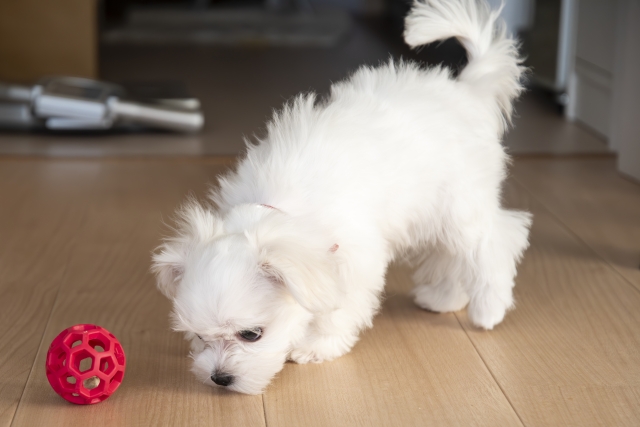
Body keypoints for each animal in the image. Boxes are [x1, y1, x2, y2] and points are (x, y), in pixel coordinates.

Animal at [150, 0, 528, 396]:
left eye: (251, 334)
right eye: (198, 335)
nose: (220, 378)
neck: (284, 213)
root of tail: (469, 91)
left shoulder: (354, 259)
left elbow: (337, 310)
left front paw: (317, 346)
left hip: (460, 205)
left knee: (495, 242)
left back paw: (489, 308)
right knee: (451, 255)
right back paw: (443, 298)